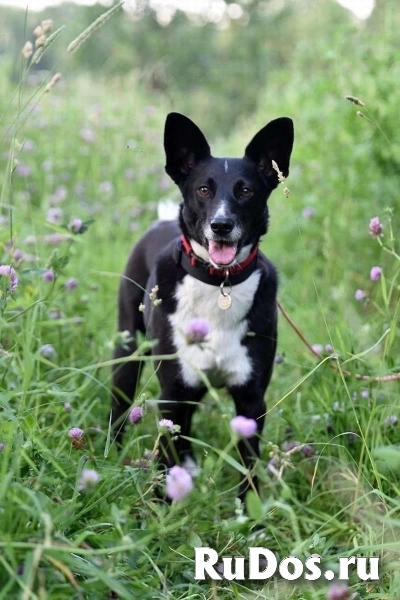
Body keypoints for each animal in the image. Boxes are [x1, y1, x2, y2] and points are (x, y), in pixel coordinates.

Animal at [112, 112, 294, 496]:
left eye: (246, 191)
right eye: (203, 189)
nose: (221, 225)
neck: (218, 283)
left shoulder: (251, 397)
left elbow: (249, 470)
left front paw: (249, 511)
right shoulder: (172, 390)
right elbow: (164, 459)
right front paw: (162, 504)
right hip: (128, 350)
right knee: (119, 402)